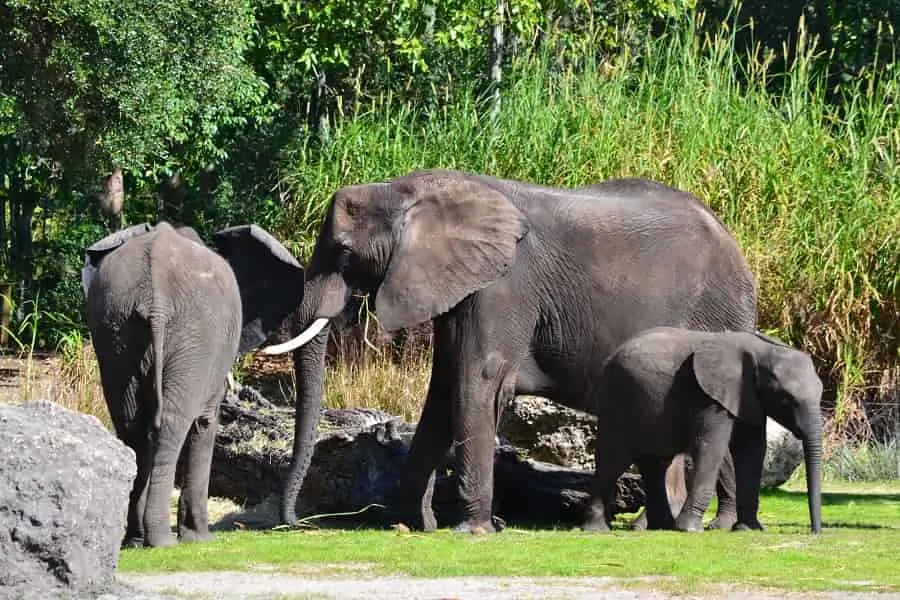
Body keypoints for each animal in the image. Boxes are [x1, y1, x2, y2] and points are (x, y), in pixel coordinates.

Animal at [85, 221, 302, 548]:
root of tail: (157, 297)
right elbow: (206, 421)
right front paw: (200, 538)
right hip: (194, 337)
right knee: (172, 423)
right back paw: (162, 540)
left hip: (116, 328)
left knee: (131, 425)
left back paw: (136, 539)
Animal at [270, 169, 756, 528]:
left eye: (343, 252)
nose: (296, 523)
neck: (405, 189)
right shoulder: (462, 287)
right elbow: (443, 392)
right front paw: (411, 525)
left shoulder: (502, 286)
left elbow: (476, 383)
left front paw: (474, 530)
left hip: (716, 317)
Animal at [584, 328, 824, 536]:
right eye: (786, 400)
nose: (815, 532)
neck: (762, 349)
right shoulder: (709, 396)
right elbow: (711, 447)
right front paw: (690, 530)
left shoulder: (747, 398)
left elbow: (752, 451)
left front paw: (748, 529)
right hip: (617, 402)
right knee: (612, 460)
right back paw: (597, 530)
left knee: (655, 463)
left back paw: (661, 526)